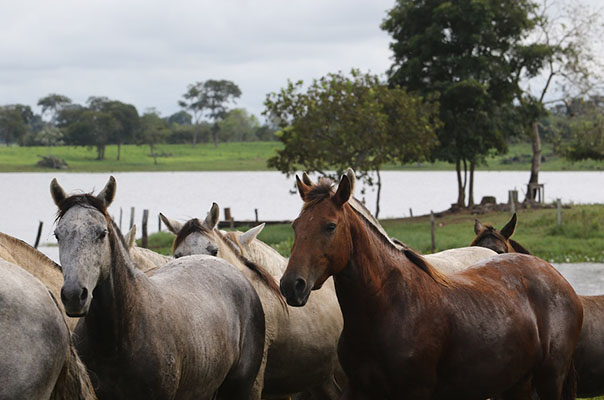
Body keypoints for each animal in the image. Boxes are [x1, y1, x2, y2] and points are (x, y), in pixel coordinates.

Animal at [284, 175, 584, 400]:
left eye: (330, 226)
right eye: (295, 226)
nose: (291, 285)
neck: (389, 306)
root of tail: (556, 277)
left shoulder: (415, 392)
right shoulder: (358, 390)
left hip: (549, 379)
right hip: (516, 383)